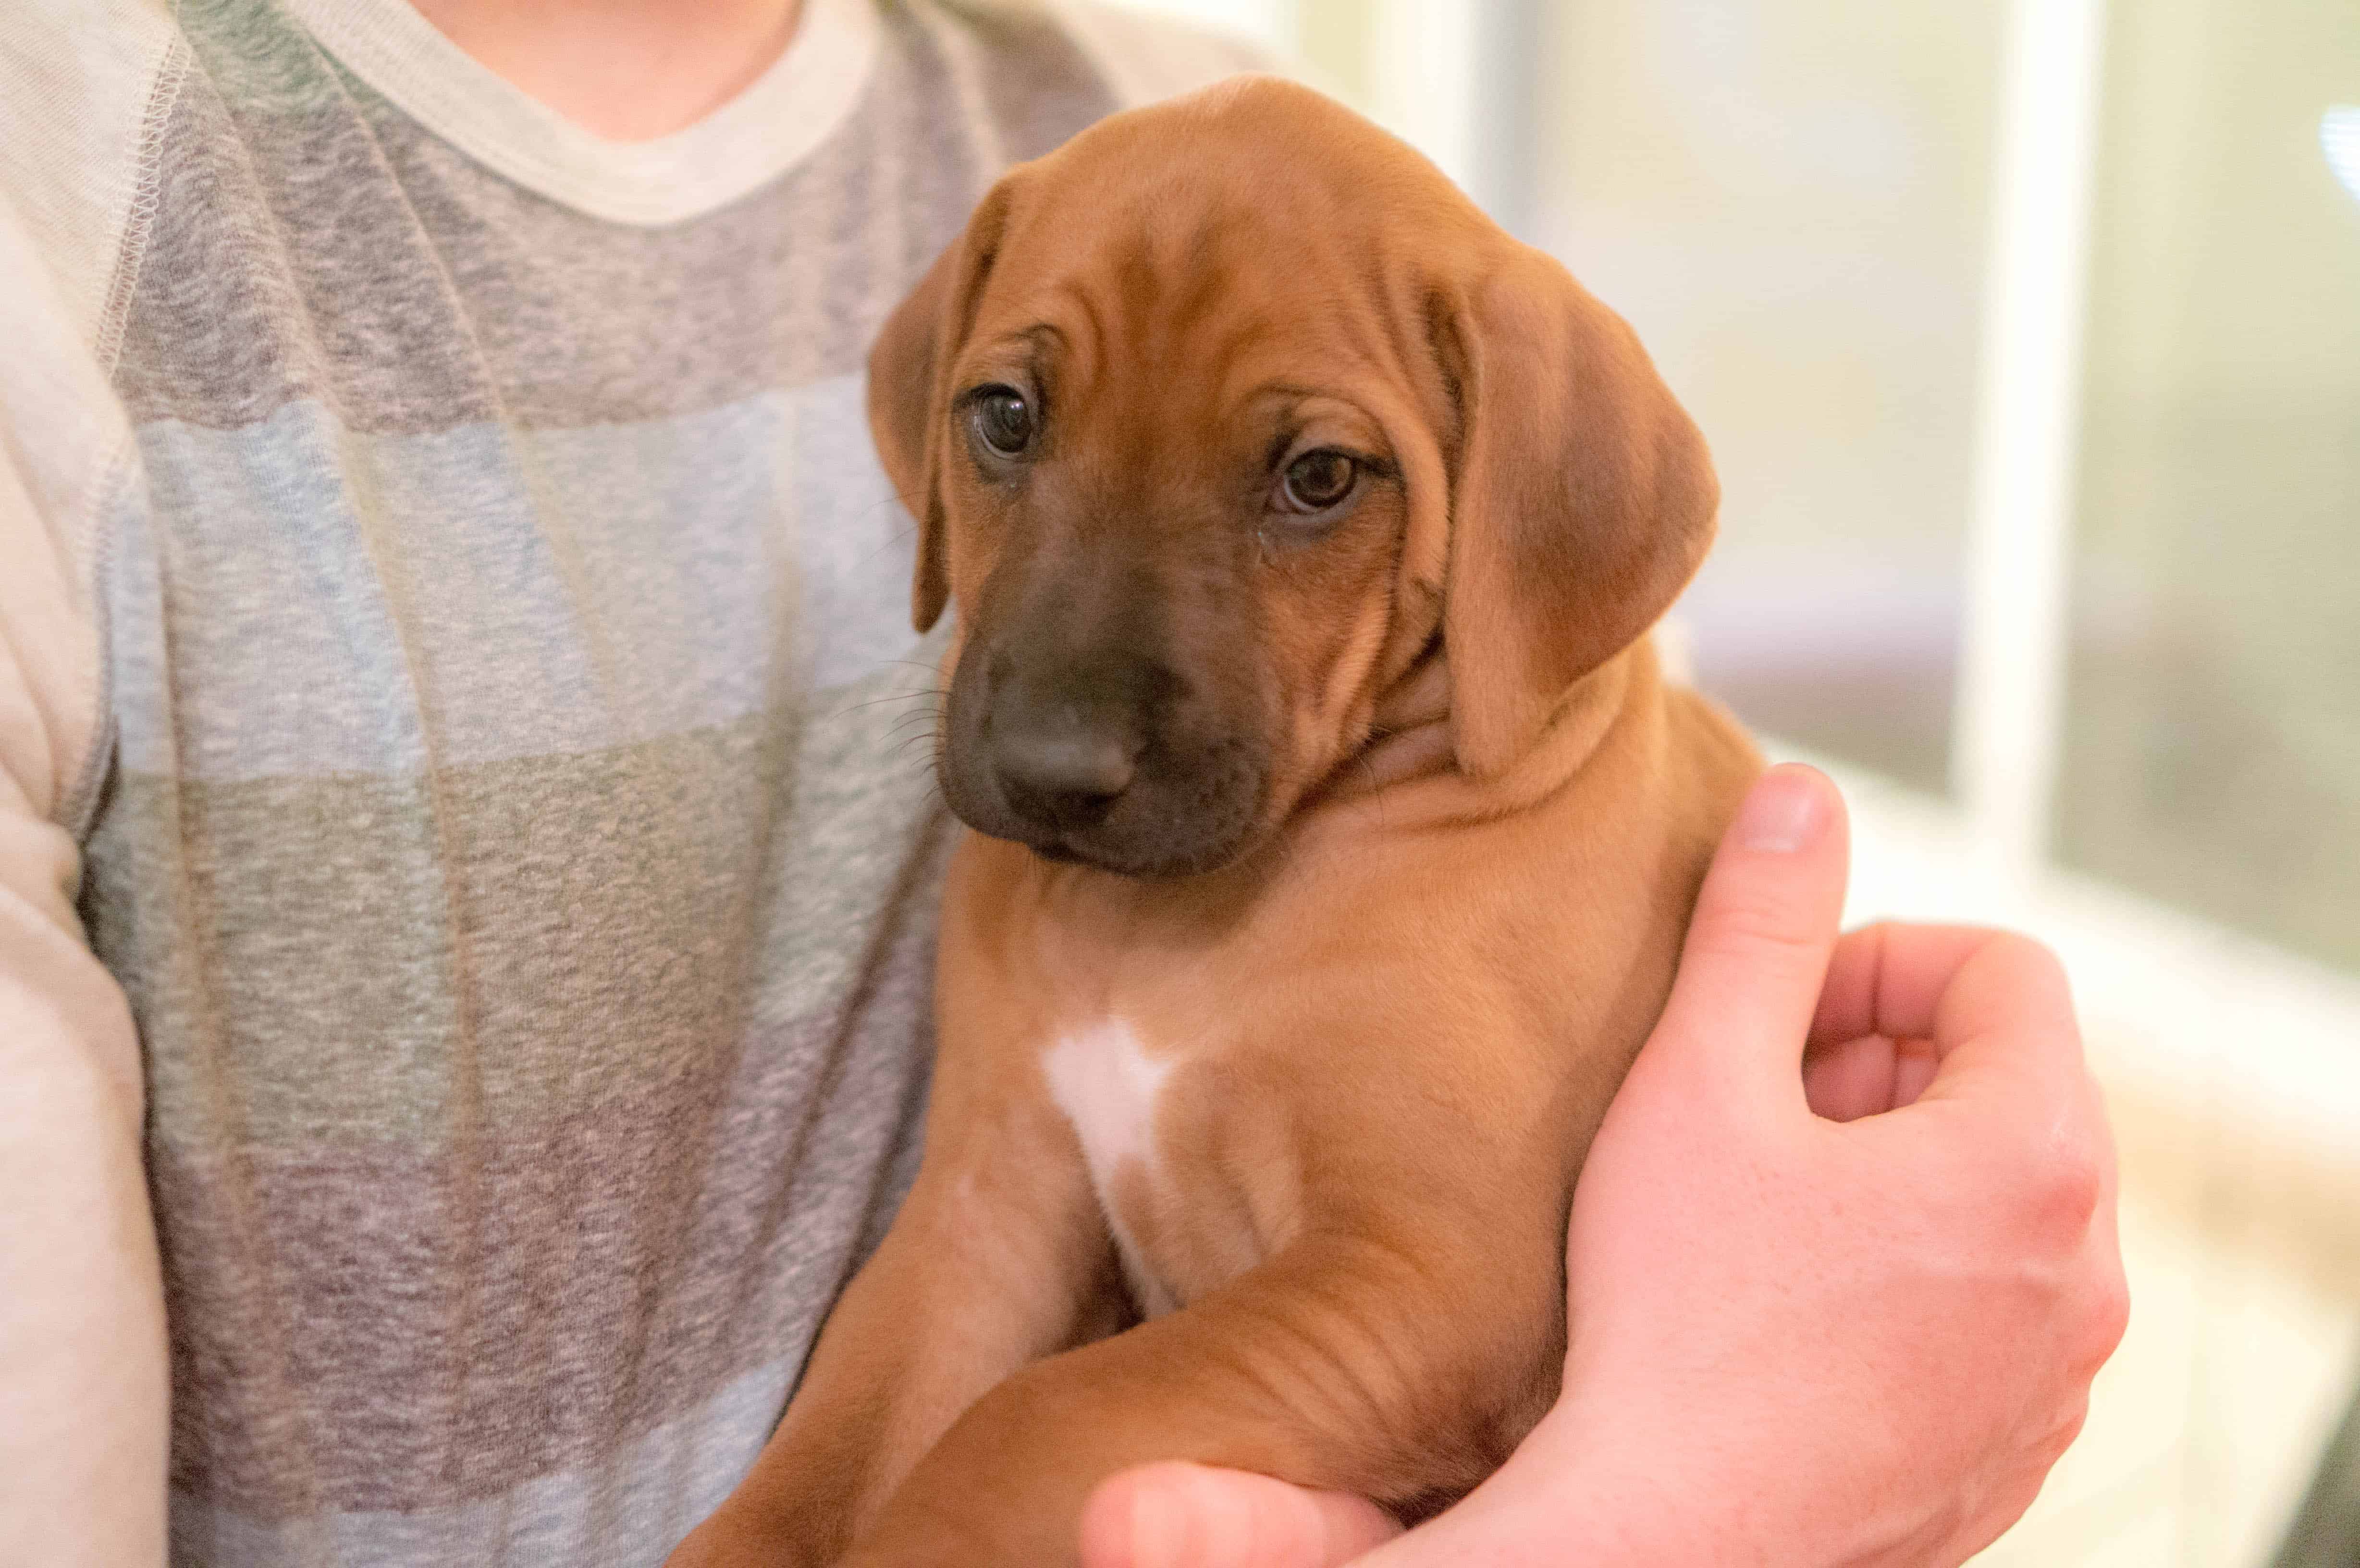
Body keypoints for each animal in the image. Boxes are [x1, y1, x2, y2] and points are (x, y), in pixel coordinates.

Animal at [675, 76, 1765, 1568]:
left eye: (1320, 478)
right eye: (1003, 416)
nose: (1050, 767)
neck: (1164, 925)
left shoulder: (1426, 1273)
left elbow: (1032, 1422)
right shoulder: (983, 1206)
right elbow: (825, 1454)